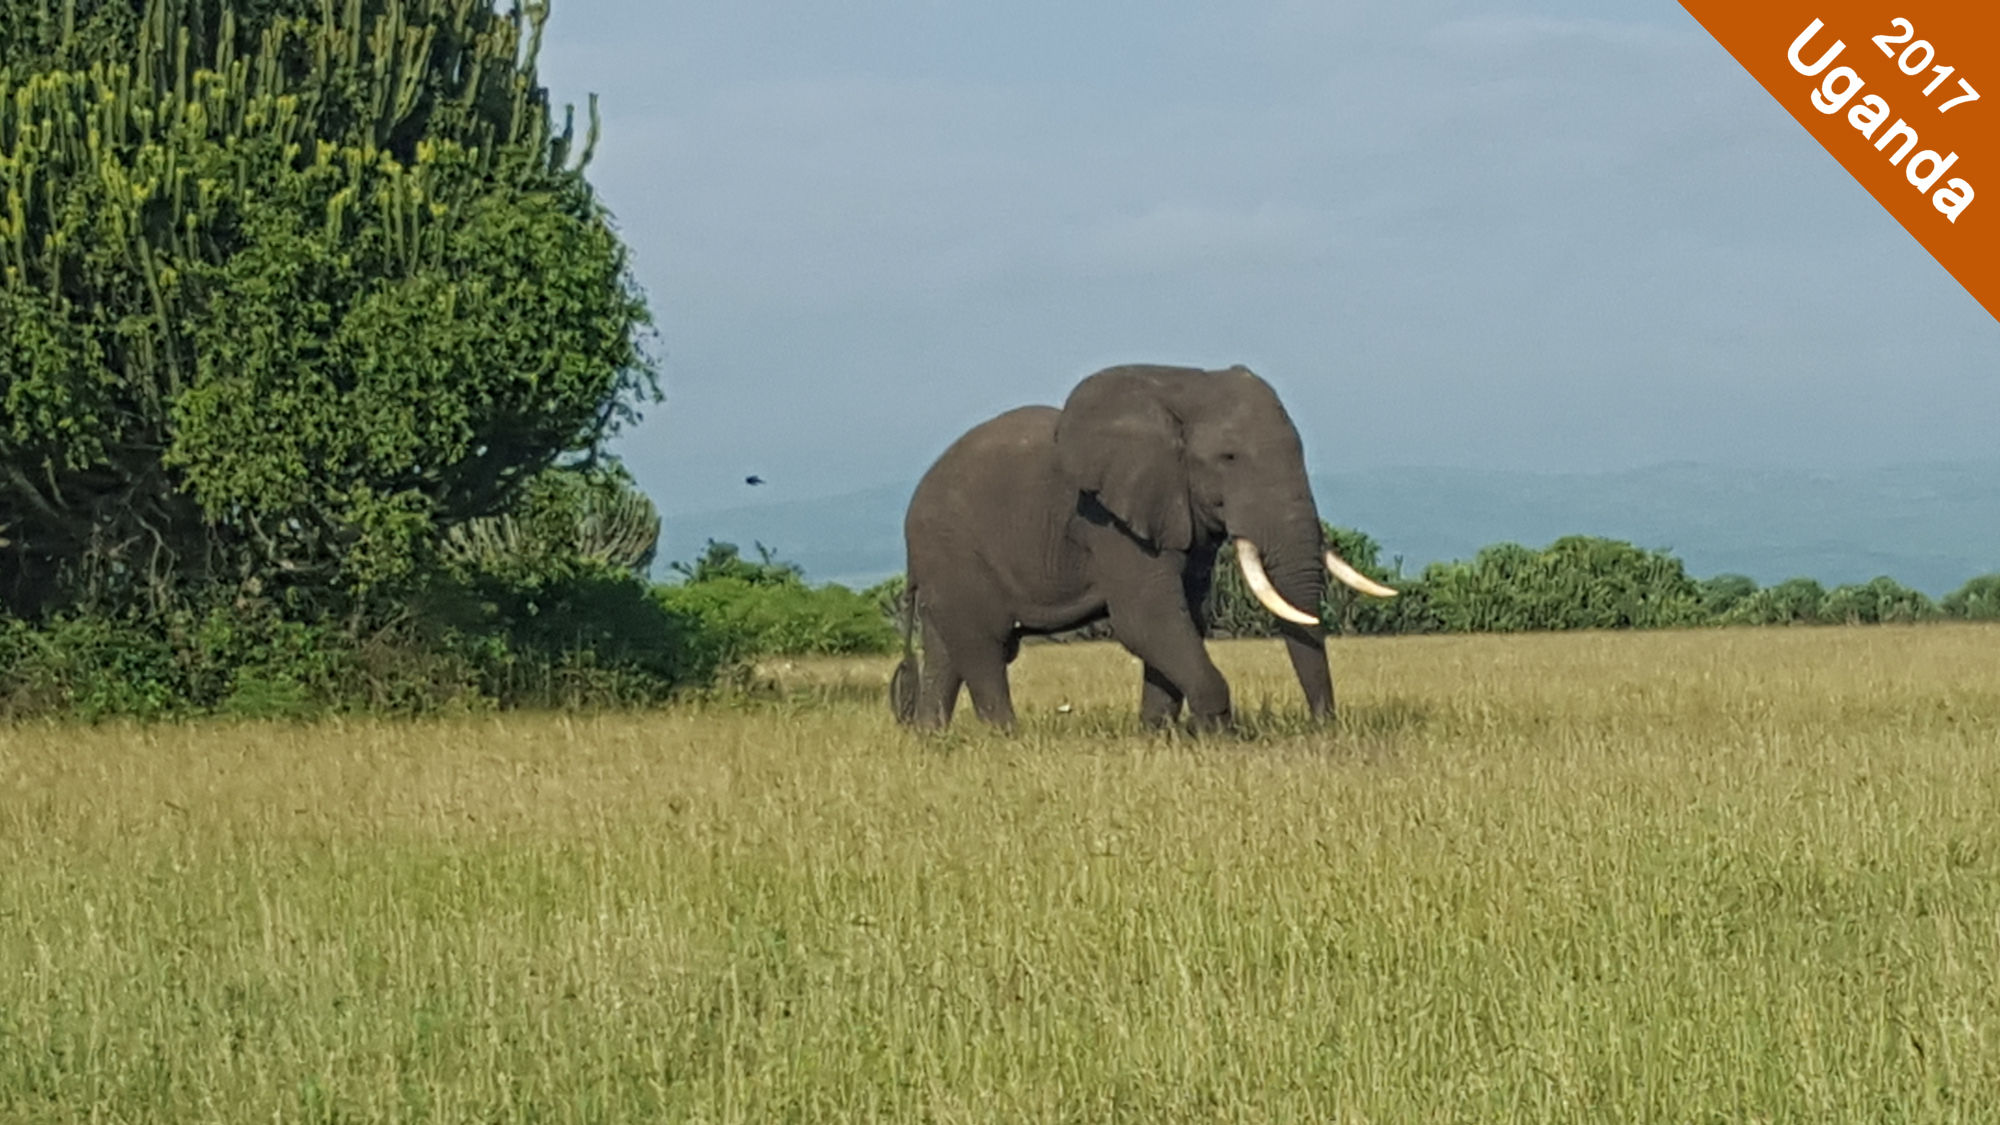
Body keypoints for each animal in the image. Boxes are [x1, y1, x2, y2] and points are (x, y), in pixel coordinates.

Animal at [892, 358, 1392, 728]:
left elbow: (1184, 614)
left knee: (945, 647)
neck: (1182, 386)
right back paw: (1006, 737)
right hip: (952, 547)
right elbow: (1147, 618)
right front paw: (1216, 734)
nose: (1324, 726)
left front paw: (1159, 735)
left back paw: (932, 738)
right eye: (1228, 458)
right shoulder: (1105, 518)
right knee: (983, 644)